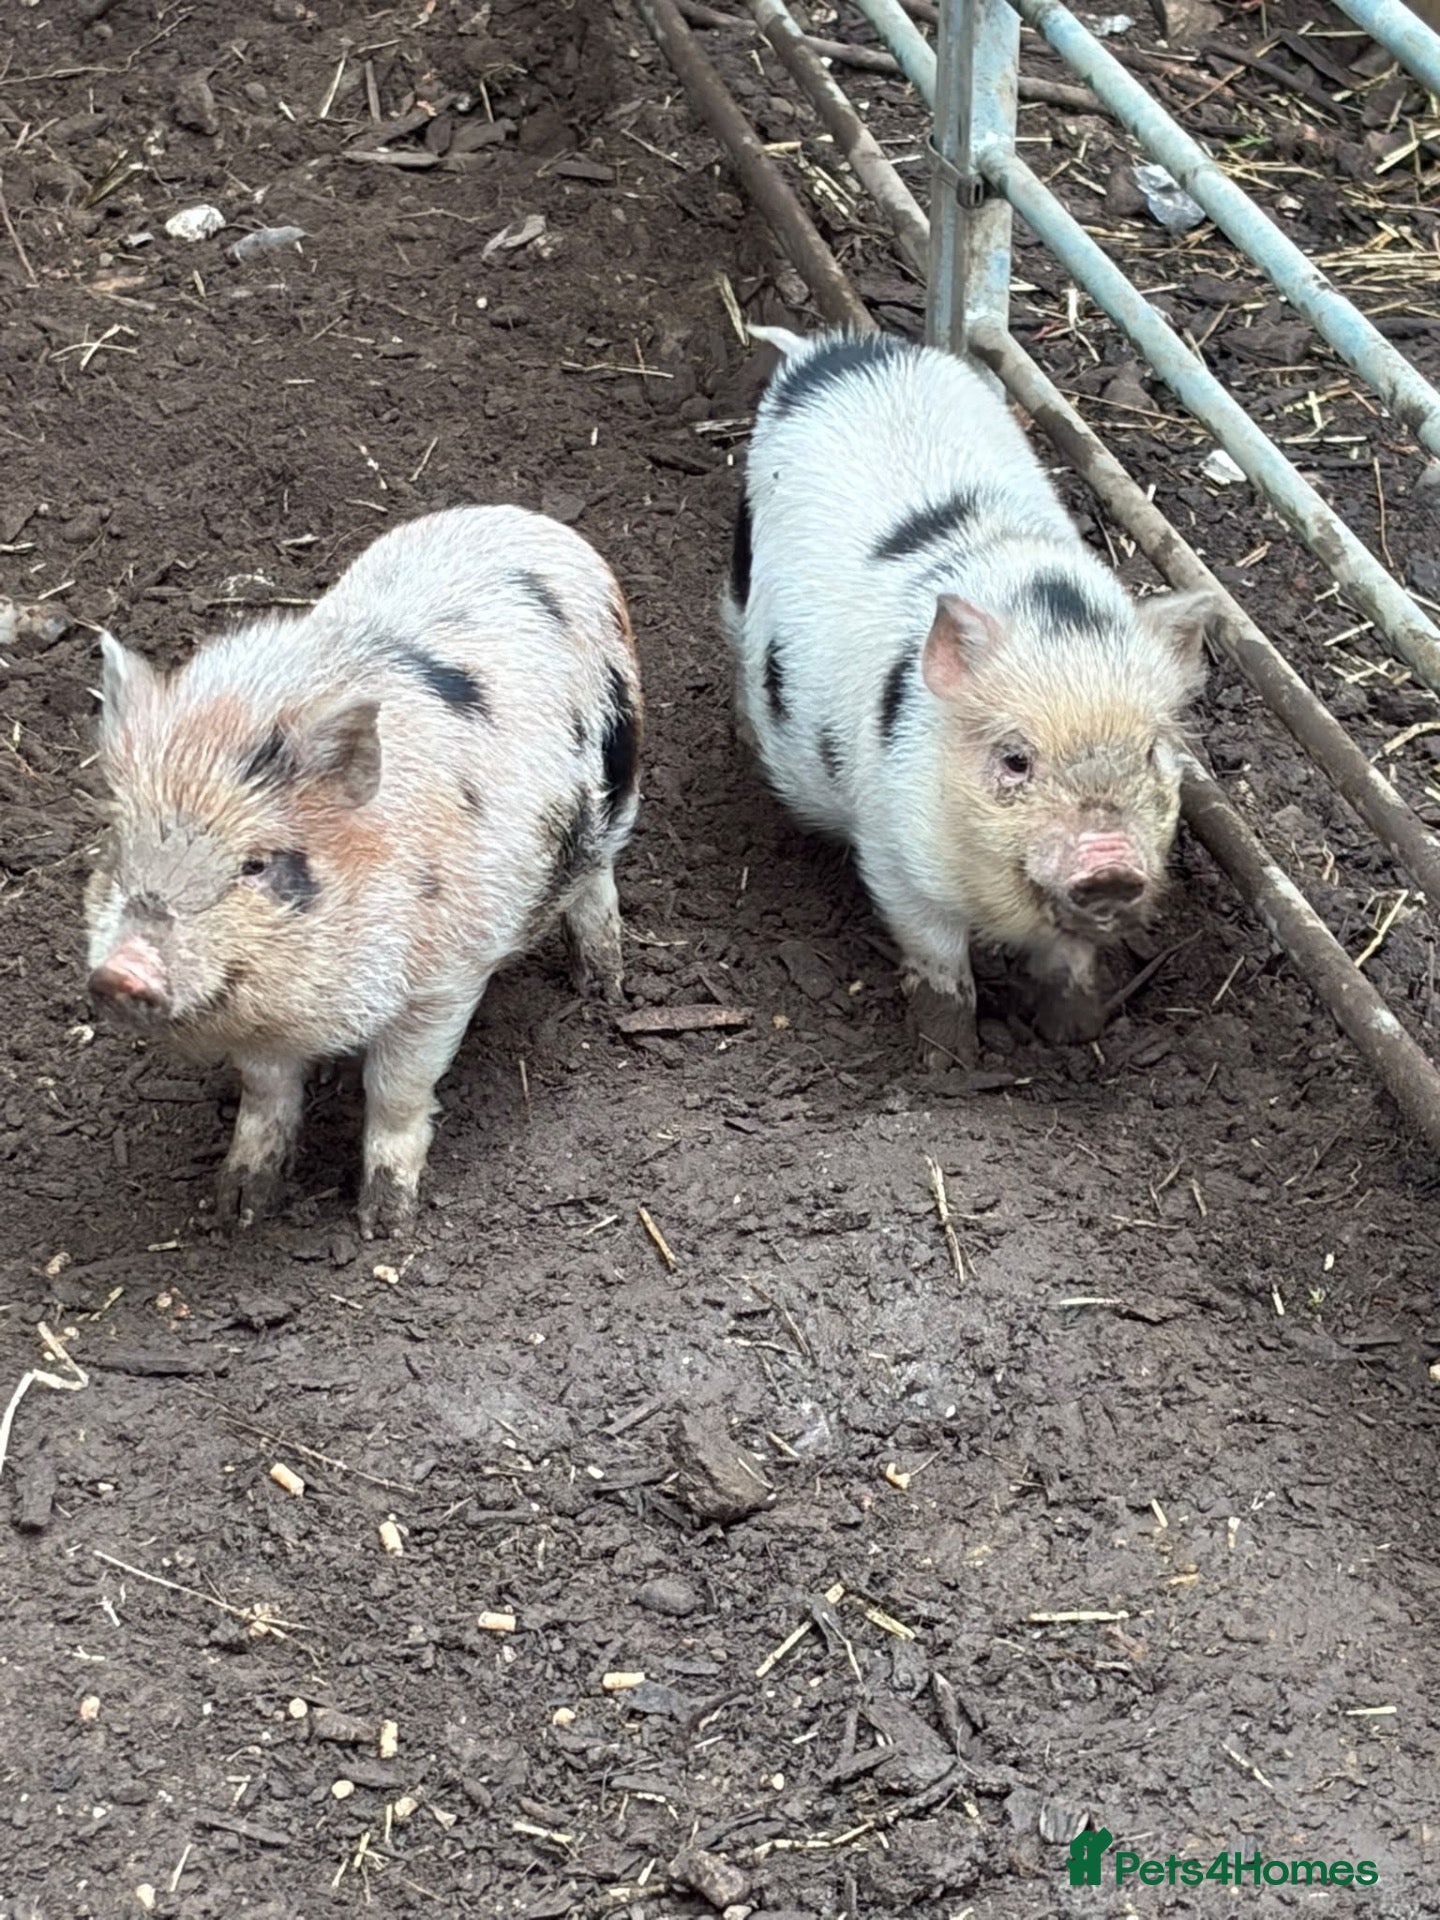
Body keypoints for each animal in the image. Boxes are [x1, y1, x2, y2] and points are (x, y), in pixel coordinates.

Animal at [85, 506, 642, 1235]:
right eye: (121, 847)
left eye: (256, 864)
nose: (122, 972)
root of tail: (534, 522)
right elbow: (265, 1091)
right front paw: (240, 1206)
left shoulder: (445, 980)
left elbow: (397, 1089)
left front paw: (384, 1224)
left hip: (616, 782)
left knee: (596, 884)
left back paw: (602, 989)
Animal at [725, 327, 1218, 1066]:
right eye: (1016, 759)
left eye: (1152, 754)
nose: (1108, 865)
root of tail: (838, 349)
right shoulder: (893, 847)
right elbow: (937, 959)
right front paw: (948, 1061)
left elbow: (1071, 957)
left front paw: (1077, 1033)